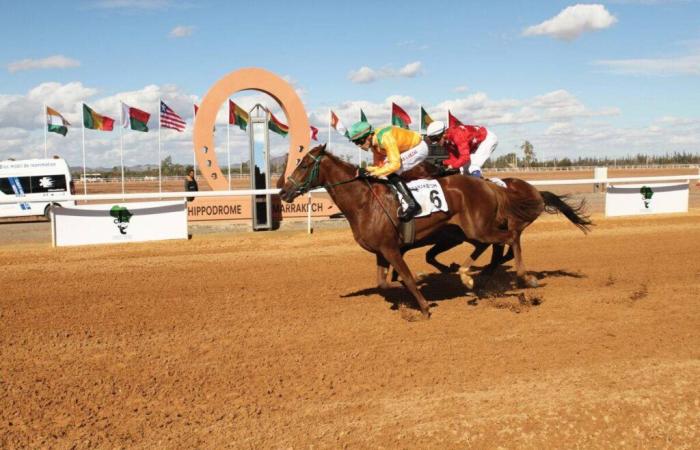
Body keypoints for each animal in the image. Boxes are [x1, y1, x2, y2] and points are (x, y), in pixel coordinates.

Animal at [278, 146, 592, 318]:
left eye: (304, 164)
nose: (283, 191)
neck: (365, 200)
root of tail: (491, 186)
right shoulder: (381, 251)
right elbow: (384, 284)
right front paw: (418, 288)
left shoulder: (392, 249)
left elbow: (405, 276)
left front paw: (425, 307)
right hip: (473, 230)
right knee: (496, 247)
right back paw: (473, 277)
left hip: (480, 228)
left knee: (510, 239)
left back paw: (524, 279)